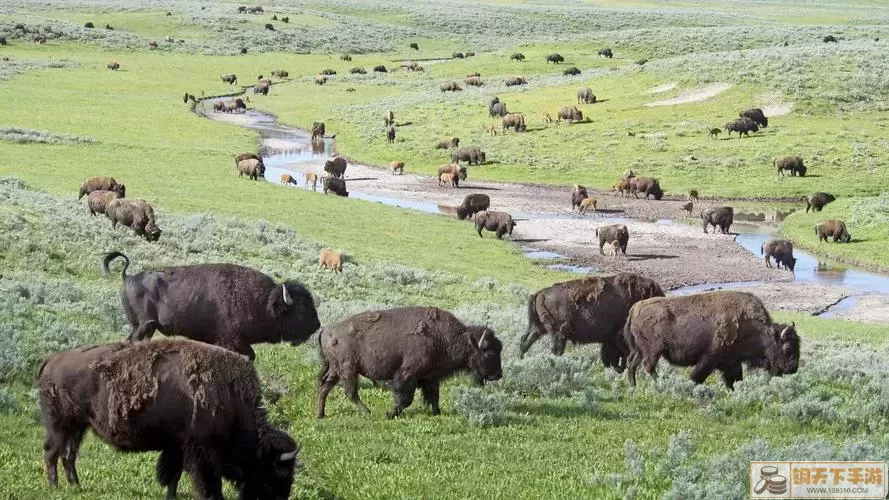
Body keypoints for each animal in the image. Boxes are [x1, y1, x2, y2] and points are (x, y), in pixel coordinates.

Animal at [36, 340, 298, 500]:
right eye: (281, 472)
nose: (281, 497)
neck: (231, 398)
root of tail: (51, 360)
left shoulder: (177, 447)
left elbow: (173, 475)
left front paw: (171, 495)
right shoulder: (201, 450)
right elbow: (207, 481)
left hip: (78, 426)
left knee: (68, 455)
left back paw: (76, 486)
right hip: (59, 424)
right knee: (51, 453)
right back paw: (54, 487)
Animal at [102, 250, 320, 360]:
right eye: (300, 309)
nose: (317, 325)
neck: (263, 302)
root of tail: (128, 277)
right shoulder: (232, 340)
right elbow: (249, 355)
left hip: (144, 327)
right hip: (143, 326)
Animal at [318, 306, 500, 420]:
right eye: (490, 353)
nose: (498, 375)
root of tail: (327, 330)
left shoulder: (431, 378)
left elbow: (434, 396)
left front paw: (437, 413)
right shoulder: (407, 375)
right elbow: (406, 399)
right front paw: (390, 413)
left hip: (336, 369)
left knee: (324, 387)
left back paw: (320, 414)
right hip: (348, 369)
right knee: (350, 392)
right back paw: (368, 412)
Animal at [524, 272, 664, 366]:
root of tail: (540, 293)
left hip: (538, 328)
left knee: (525, 340)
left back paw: (521, 357)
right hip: (558, 333)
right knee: (553, 348)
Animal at [620, 292, 800, 388]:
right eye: (787, 349)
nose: (793, 369)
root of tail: (635, 308)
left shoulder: (732, 362)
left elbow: (734, 378)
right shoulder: (710, 358)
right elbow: (697, 376)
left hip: (639, 350)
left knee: (632, 364)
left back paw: (633, 386)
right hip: (653, 350)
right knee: (648, 366)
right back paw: (661, 384)